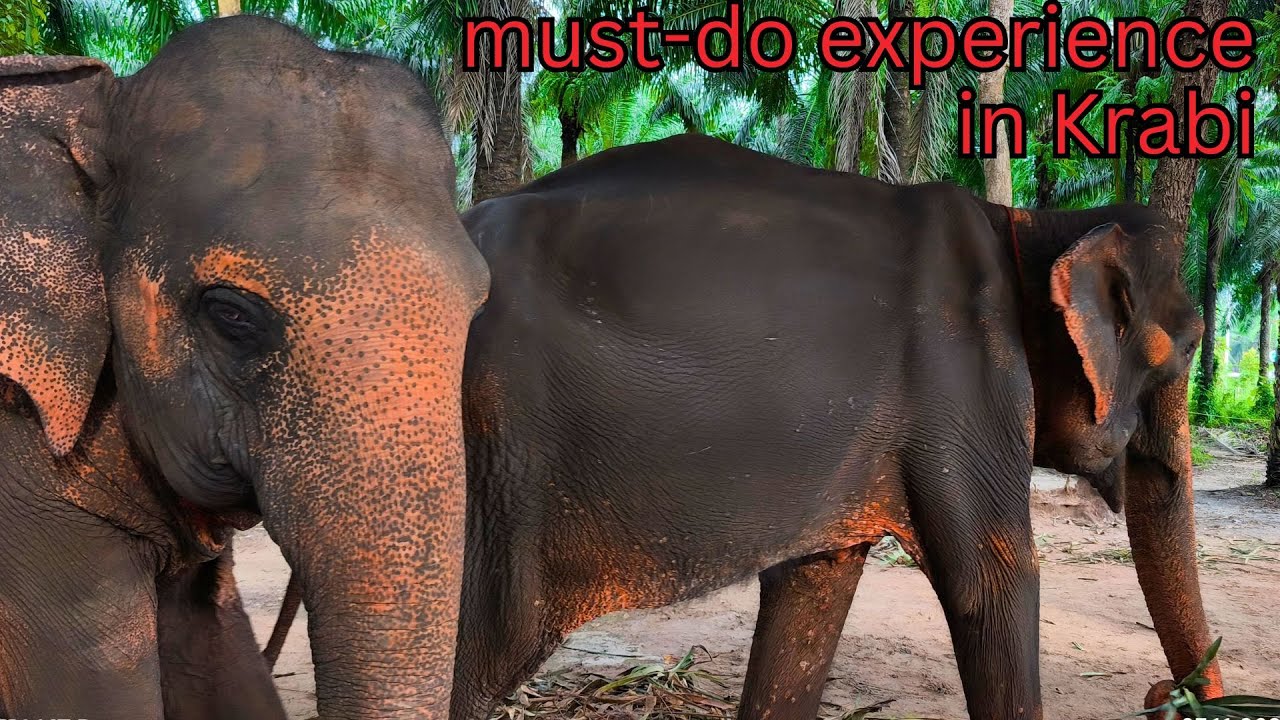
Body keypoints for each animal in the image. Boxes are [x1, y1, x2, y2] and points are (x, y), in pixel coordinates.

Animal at [448, 134, 1218, 719]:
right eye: (1185, 350)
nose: (1165, 695)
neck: (1031, 224)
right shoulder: (968, 384)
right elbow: (995, 584)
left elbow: (813, 588)